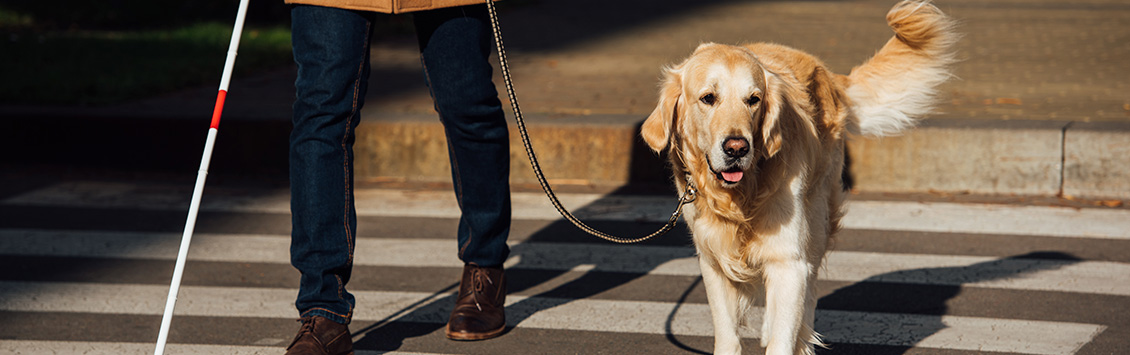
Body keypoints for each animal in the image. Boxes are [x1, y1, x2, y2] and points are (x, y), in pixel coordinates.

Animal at [641, 1, 958, 352]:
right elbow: (728, 335)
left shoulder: (789, 260)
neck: (742, 198)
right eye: (708, 98)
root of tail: (826, 72)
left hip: (816, 218)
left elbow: (786, 327)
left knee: (808, 290)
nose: (737, 148)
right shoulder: (713, 262)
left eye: (754, 99)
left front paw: (786, 336)